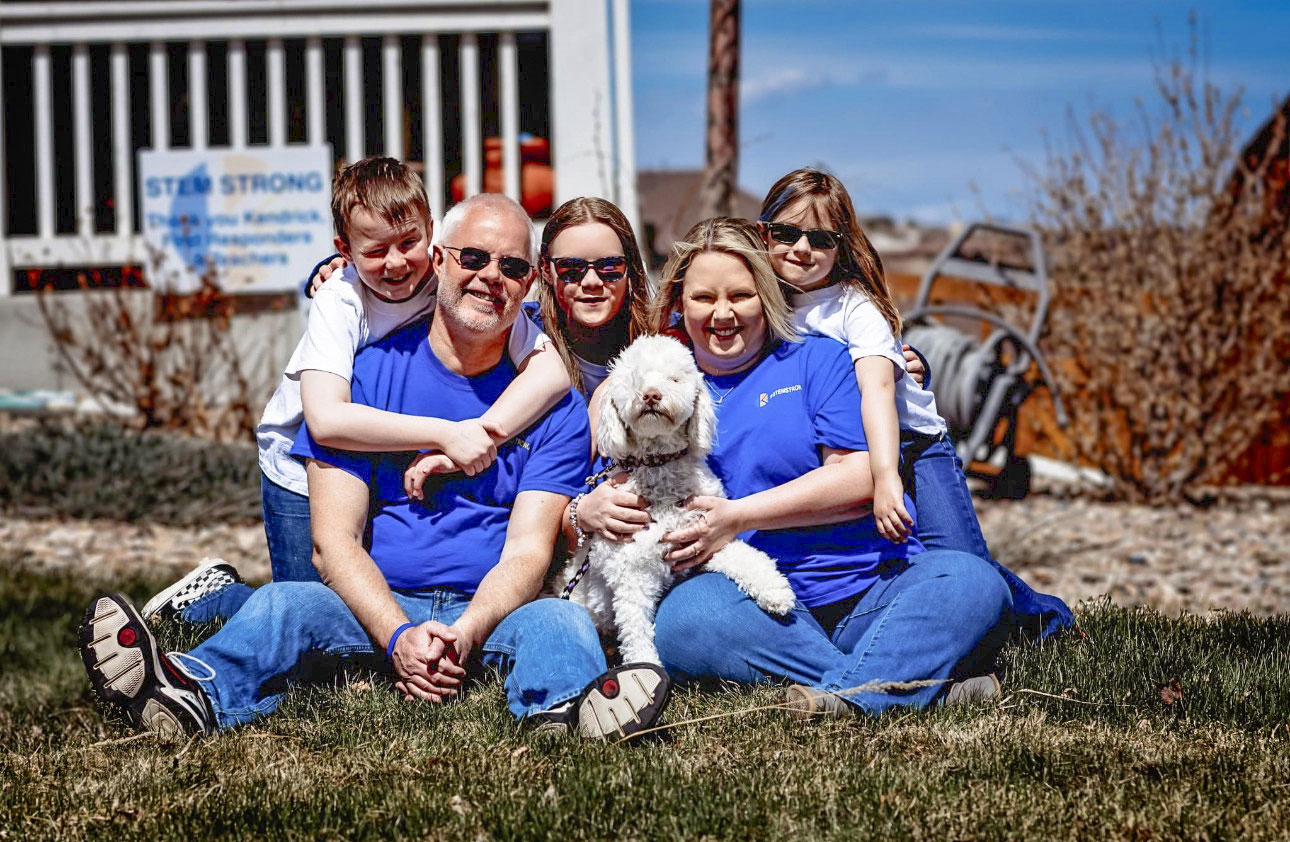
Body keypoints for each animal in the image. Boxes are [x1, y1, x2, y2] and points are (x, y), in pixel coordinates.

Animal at [562, 332, 794, 665]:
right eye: (634, 379)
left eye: (674, 379)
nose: (651, 395)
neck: (659, 465)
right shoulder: (632, 573)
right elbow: (635, 630)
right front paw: (644, 667)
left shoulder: (705, 539)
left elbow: (746, 556)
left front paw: (775, 590)